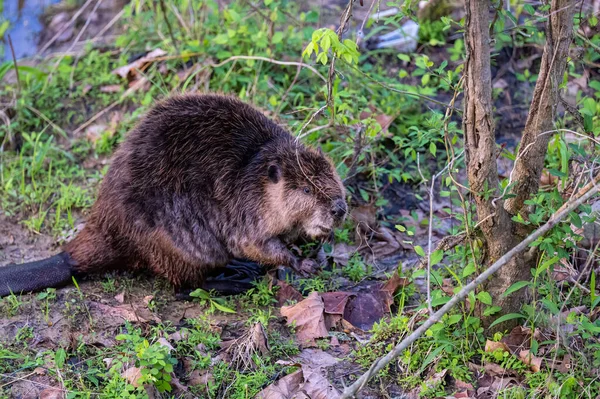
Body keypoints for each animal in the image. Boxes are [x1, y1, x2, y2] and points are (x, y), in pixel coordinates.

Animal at [0, 94, 346, 298]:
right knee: (185, 286)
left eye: (335, 179)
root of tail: (69, 258)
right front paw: (302, 263)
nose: (339, 209)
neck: (255, 169)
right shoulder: (244, 207)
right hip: (176, 243)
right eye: (306, 189)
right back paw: (236, 277)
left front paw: (320, 243)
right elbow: (253, 244)